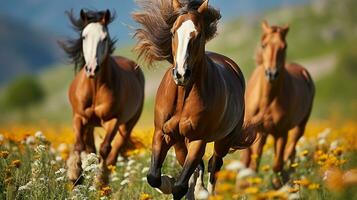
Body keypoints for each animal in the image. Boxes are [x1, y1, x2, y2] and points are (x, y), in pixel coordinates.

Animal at [59, 9, 145, 184]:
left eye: (104, 38)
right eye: (84, 37)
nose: (92, 68)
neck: (95, 88)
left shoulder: (113, 121)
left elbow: (105, 149)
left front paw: (99, 180)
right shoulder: (79, 117)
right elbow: (78, 145)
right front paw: (75, 175)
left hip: (127, 125)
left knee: (114, 151)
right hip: (90, 124)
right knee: (89, 147)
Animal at [134, 0, 256, 199]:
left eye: (198, 34)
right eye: (173, 32)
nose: (181, 74)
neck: (183, 97)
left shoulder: (198, 140)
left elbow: (181, 185)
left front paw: (194, 190)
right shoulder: (162, 133)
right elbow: (154, 177)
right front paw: (168, 183)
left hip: (224, 140)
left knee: (214, 165)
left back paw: (206, 192)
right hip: (180, 143)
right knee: (199, 166)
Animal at [239, 20, 314, 188]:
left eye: (284, 46)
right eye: (263, 45)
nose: (272, 74)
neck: (267, 100)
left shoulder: (281, 133)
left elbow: (277, 164)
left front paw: (277, 185)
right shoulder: (257, 131)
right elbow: (252, 163)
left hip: (299, 127)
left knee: (291, 150)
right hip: (264, 133)